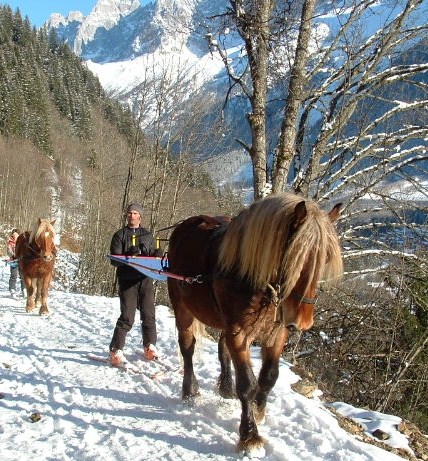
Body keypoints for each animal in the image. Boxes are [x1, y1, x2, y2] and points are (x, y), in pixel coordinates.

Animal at [167, 192, 344, 454]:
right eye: (294, 257)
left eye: (326, 259)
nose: (303, 322)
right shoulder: (239, 332)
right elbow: (247, 384)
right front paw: (249, 434)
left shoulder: (277, 330)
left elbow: (269, 376)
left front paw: (259, 411)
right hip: (182, 308)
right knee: (187, 348)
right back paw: (190, 392)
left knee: (222, 348)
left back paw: (225, 387)